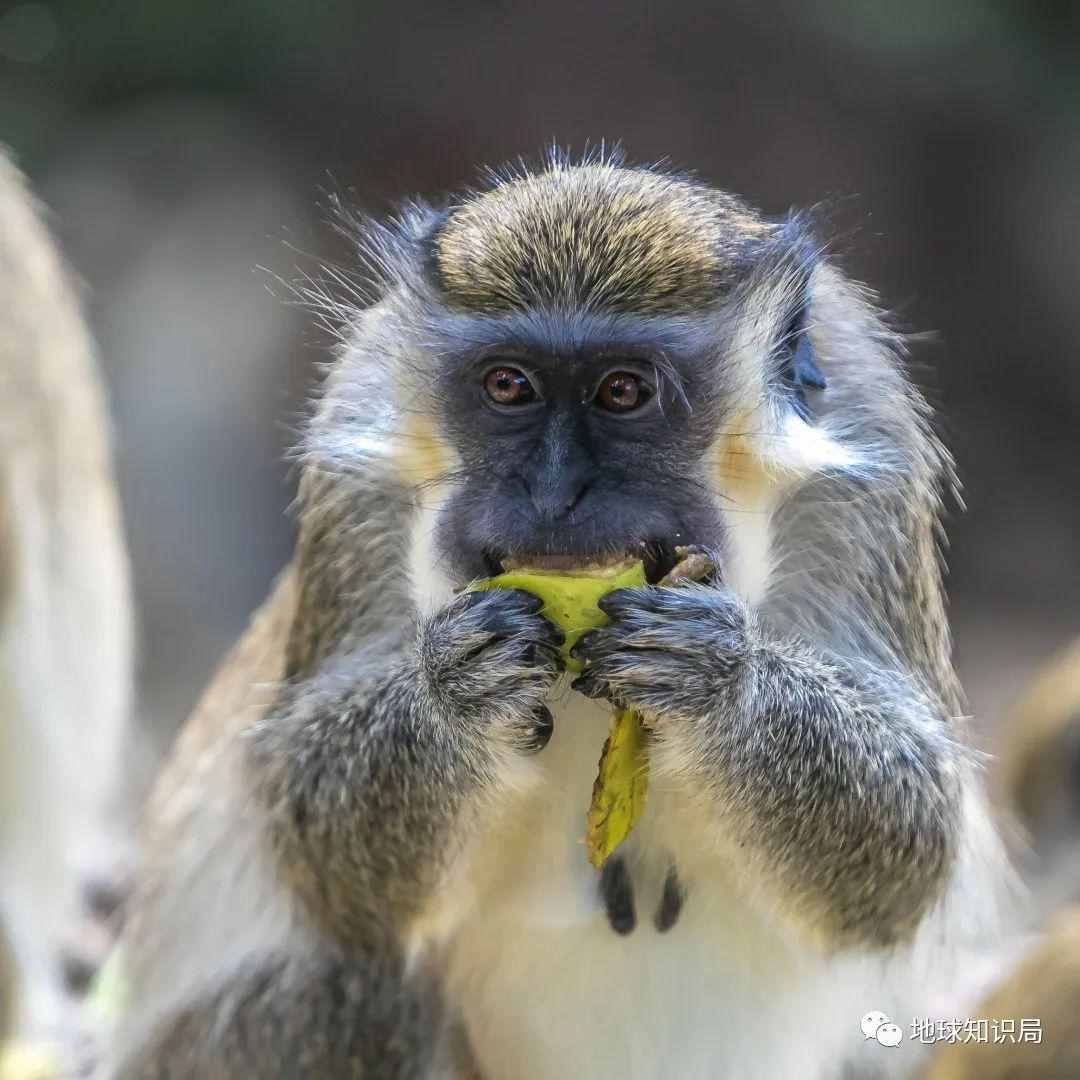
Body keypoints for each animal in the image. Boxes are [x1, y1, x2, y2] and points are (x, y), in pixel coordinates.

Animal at [109, 152, 1002, 1080]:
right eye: (509, 386)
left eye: (622, 392)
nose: (552, 492)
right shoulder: (352, 450)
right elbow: (321, 843)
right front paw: (458, 688)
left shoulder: (873, 456)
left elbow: (909, 846)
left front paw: (720, 678)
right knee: (352, 990)